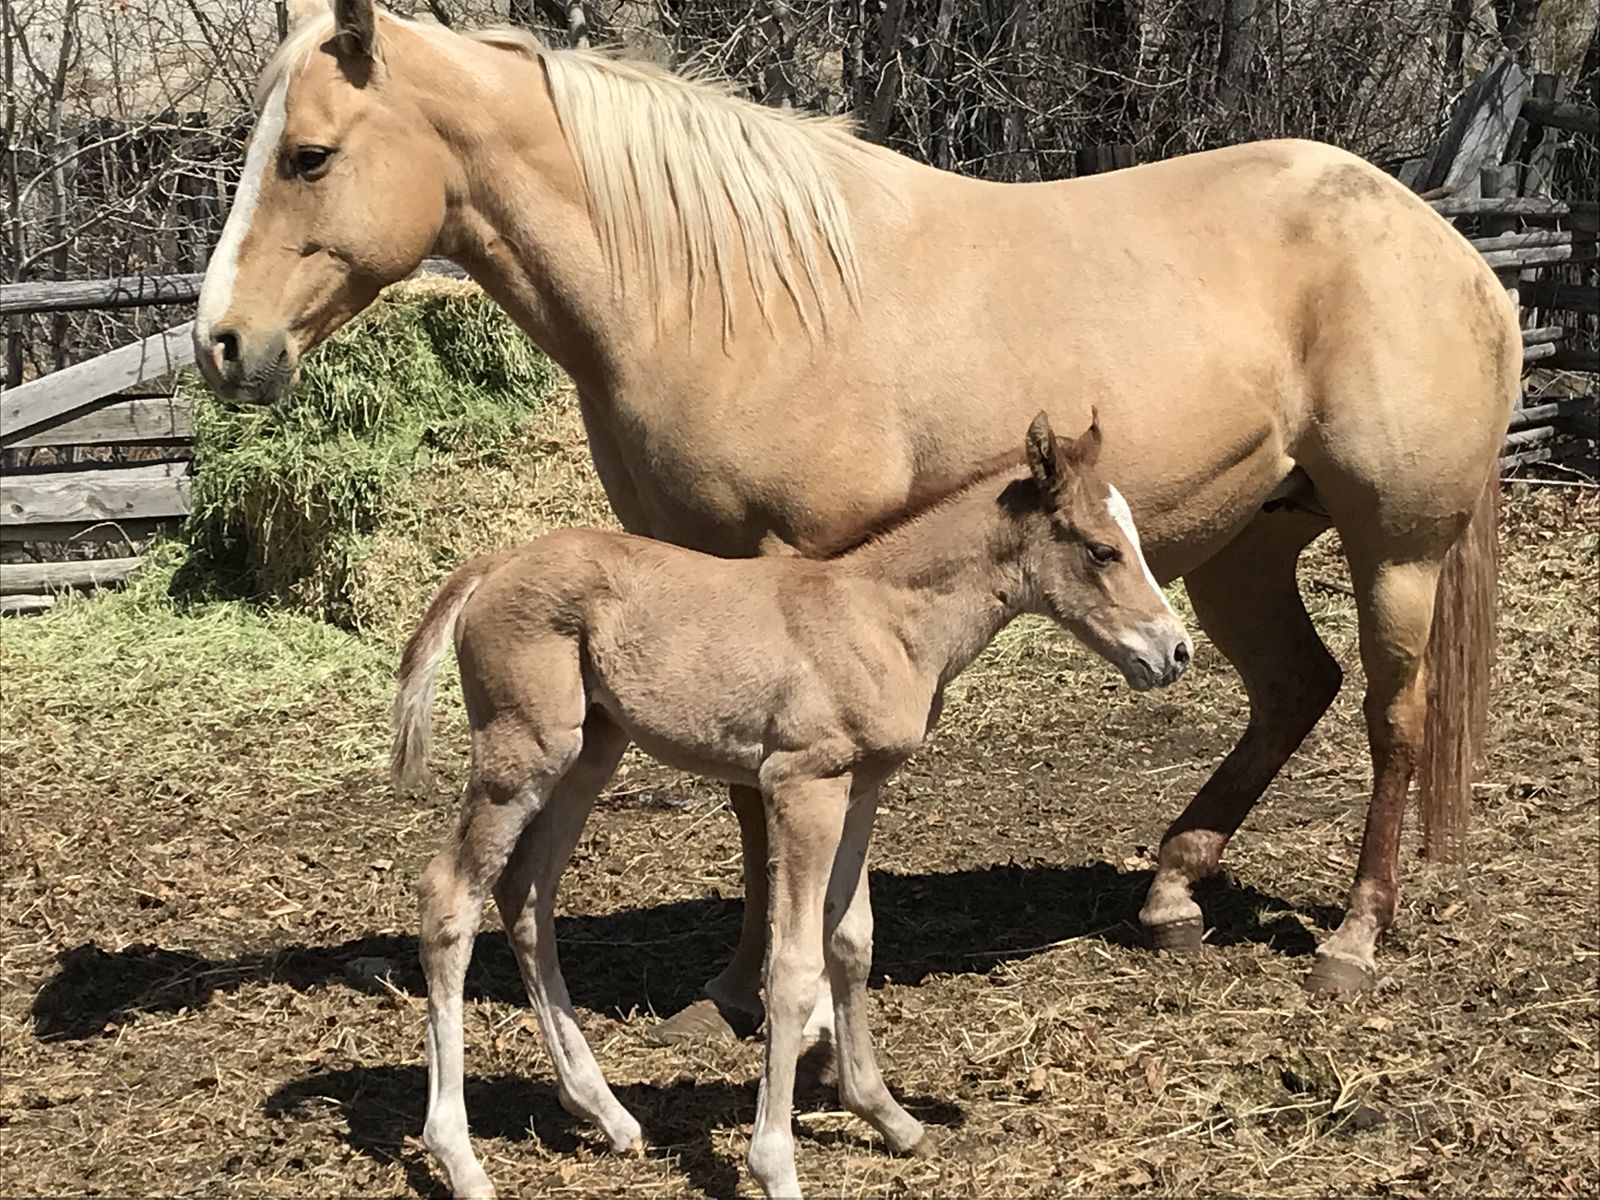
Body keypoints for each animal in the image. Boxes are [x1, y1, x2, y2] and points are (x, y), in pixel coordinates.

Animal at [193, 0, 1517, 1023]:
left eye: (308, 156)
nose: (222, 344)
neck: (718, 290)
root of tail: (1447, 246)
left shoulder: (798, 564)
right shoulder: (707, 573)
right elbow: (742, 794)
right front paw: (733, 987)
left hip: (1395, 550)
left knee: (1392, 717)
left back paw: (1351, 939)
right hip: (1240, 550)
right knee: (1294, 689)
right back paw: (1170, 892)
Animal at [393, 412, 1190, 1199]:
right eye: (1102, 550)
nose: (1175, 651)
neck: (882, 618)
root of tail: (490, 566)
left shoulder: (862, 787)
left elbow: (853, 941)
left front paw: (888, 1117)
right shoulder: (804, 783)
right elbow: (795, 966)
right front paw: (774, 1164)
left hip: (591, 753)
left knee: (527, 892)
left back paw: (607, 1115)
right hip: (525, 751)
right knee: (450, 896)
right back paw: (460, 1159)